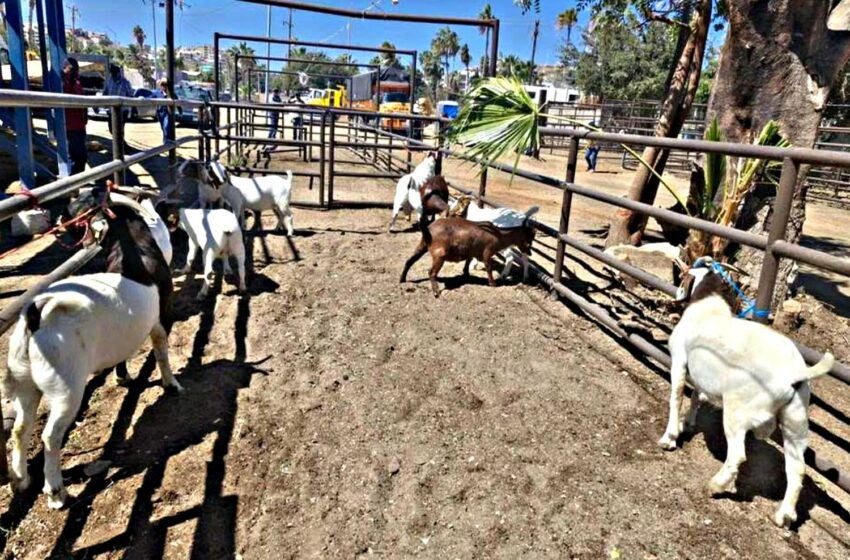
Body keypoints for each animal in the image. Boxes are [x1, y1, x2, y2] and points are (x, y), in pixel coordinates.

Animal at [400, 208, 532, 298]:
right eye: (528, 239)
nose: (530, 252)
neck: (499, 235)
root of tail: (428, 229)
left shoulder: (471, 251)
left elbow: (468, 262)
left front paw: (466, 274)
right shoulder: (487, 252)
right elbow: (488, 267)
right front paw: (493, 283)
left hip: (422, 245)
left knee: (409, 261)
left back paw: (402, 279)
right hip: (439, 254)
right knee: (431, 271)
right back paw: (436, 291)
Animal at [660, 258, 832, 528]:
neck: (709, 307)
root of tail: (794, 373)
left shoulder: (679, 360)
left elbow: (676, 396)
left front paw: (669, 438)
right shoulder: (701, 373)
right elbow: (697, 395)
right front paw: (688, 424)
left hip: (738, 411)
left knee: (738, 455)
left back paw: (715, 486)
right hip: (796, 420)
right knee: (797, 468)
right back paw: (784, 516)